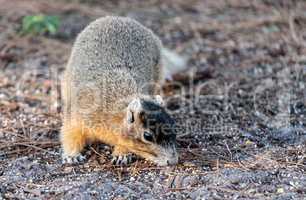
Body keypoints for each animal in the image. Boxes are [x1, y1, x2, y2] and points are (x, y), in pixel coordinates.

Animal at [59, 15, 184, 166]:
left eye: (174, 127)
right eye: (147, 136)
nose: (173, 161)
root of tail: (118, 18)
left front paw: (121, 155)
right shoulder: (78, 115)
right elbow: (70, 134)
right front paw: (72, 156)